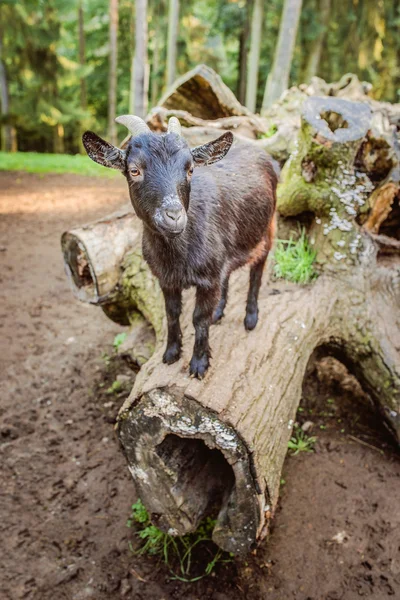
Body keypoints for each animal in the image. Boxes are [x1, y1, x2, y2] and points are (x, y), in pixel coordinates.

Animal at [83, 116, 276, 378]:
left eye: (190, 169)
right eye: (134, 170)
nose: (174, 216)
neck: (176, 256)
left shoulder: (207, 280)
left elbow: (199, 319)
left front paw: (199, 364)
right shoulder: (166, 279)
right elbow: (172, 314)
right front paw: (171, 353)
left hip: (268, 228)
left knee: (258, 269)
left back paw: (251, 318)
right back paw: (219, 312)